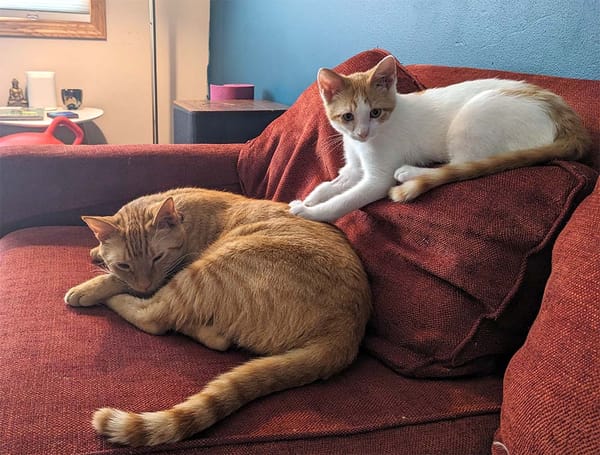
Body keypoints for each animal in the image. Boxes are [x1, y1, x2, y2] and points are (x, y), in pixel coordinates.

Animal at [65, 187, 370, 448]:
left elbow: (118, 282)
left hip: (205, 272)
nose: (144, 286)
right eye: (125, 264)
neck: (185, 217)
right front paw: (96, 253)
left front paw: (91, 288)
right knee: (216, 338)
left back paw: (112, 300)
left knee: (155, 317)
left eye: (157, 258)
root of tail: (348, 329)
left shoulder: (171, 272)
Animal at [290, 55, 592, 223]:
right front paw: (310, 198)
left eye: (375, 112)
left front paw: (311, 213)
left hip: (476, 113)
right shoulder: (353, 167)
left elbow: (344, 201)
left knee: (459, 164)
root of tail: (566, 116)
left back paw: (409, 173)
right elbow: (331, 184)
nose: (362, 133)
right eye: (347, 117)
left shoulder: (376, 179)